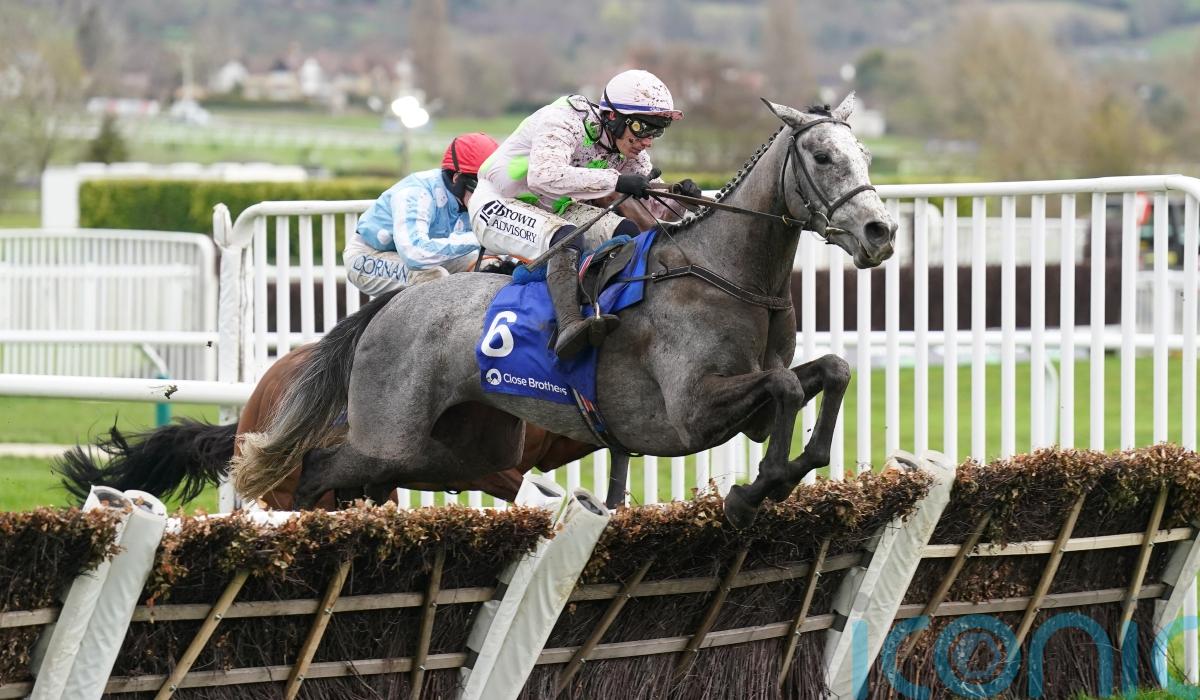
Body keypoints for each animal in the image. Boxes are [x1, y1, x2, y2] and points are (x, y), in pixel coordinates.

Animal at [236, 95, 896, 528]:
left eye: (864, 153)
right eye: (821, 156)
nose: (880, 232)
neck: (724, 275)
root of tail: (391, 305)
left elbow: (831, 371)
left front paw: (783, 473)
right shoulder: (690, 412)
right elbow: (784, 386)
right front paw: (753, 490)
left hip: (460, 452)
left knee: (364, 479)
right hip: (389, 434)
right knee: (318, 469)